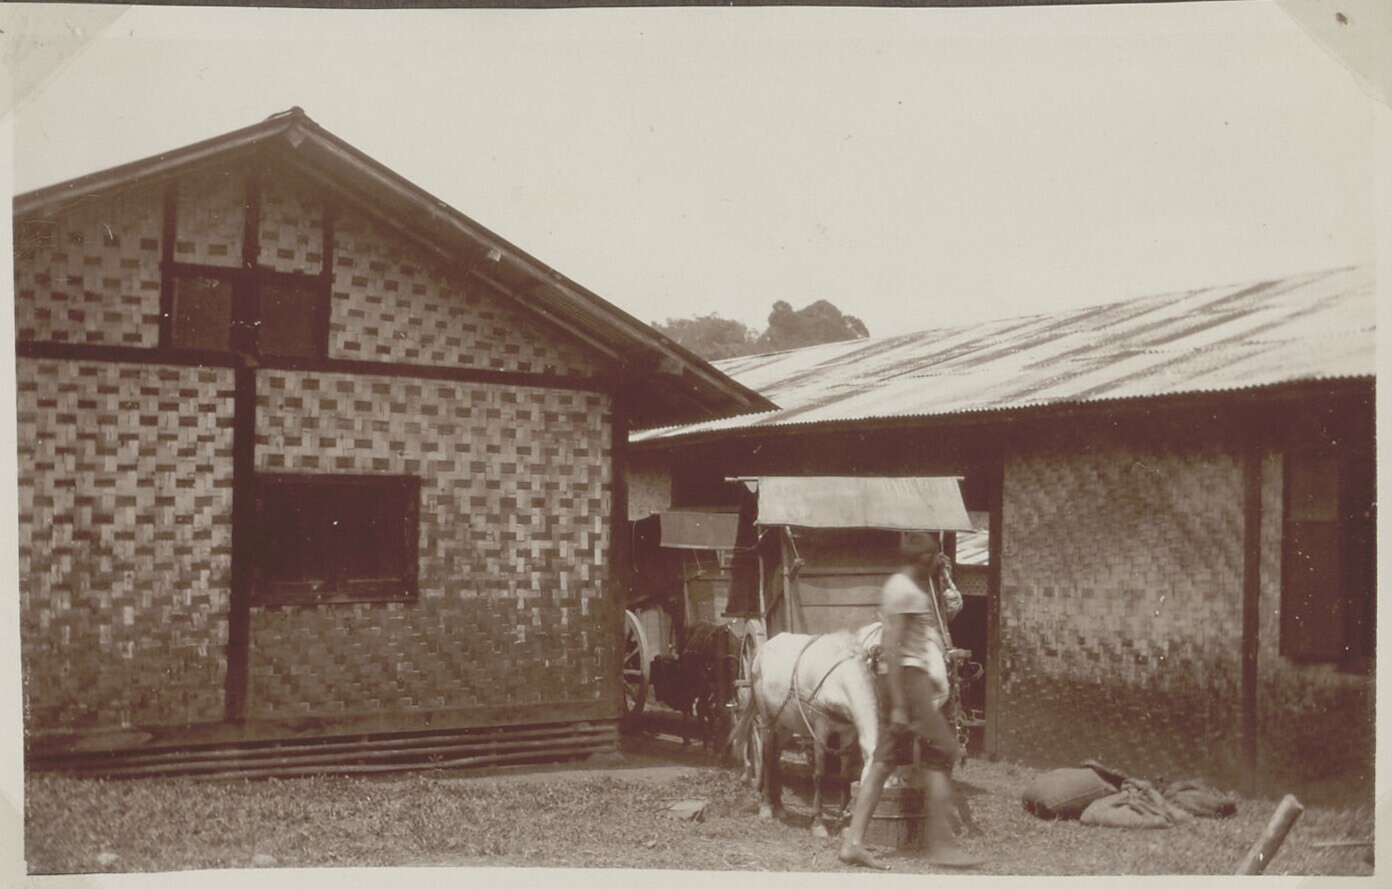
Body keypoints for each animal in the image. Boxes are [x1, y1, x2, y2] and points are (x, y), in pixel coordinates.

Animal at [730, 630, 880, 838]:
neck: (841, 677)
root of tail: (763, 649)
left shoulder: (848, 733)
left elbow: (844, 777)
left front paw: (843, 825)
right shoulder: (820, 730)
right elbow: (820, 775)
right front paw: (818, 822)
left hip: (785, 725)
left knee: (775, 757)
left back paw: (779, 807)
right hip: (768, 720)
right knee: (767, 757)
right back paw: (766, 806)